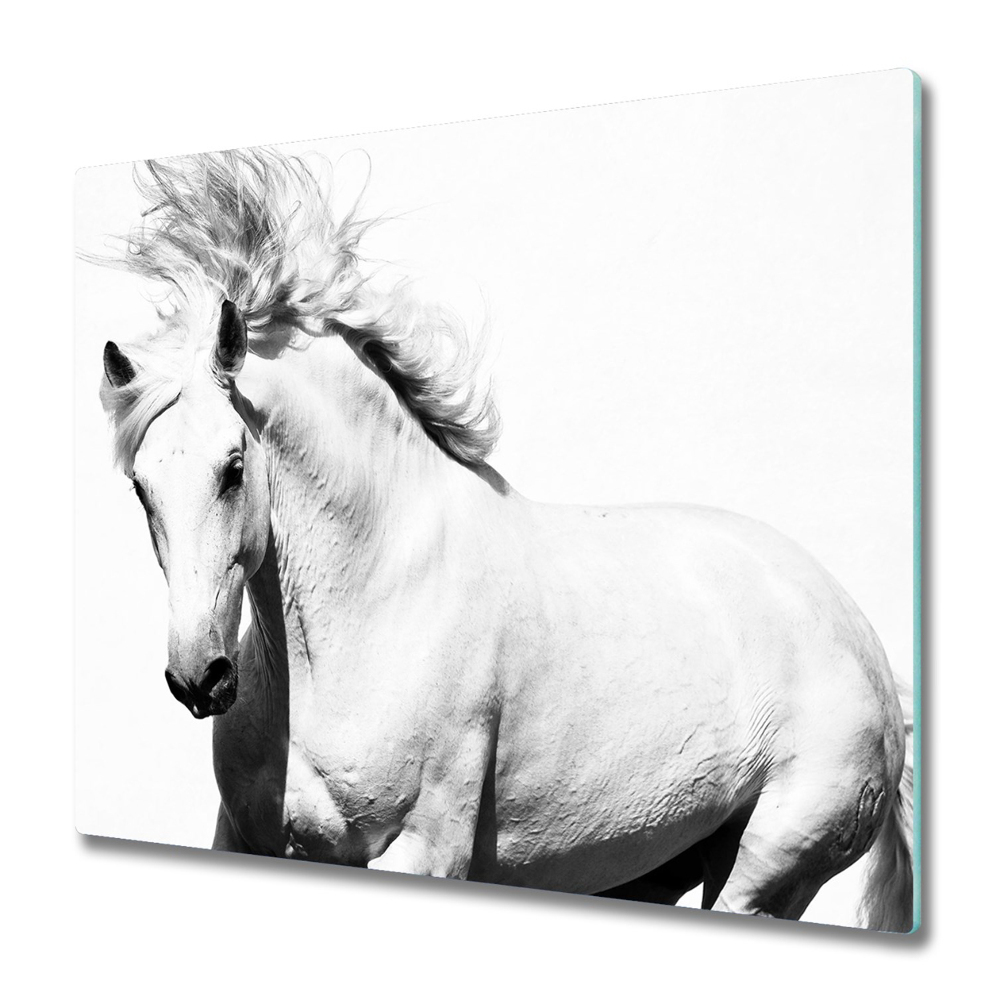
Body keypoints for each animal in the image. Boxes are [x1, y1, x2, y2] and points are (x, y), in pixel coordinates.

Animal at [92, 149, 914, 930]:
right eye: (140, 486)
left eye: (233, 467)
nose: (199, 677)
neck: (372, 603)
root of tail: (861, 637)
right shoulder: (245, 837)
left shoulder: (422, 850)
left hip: (766, 876)